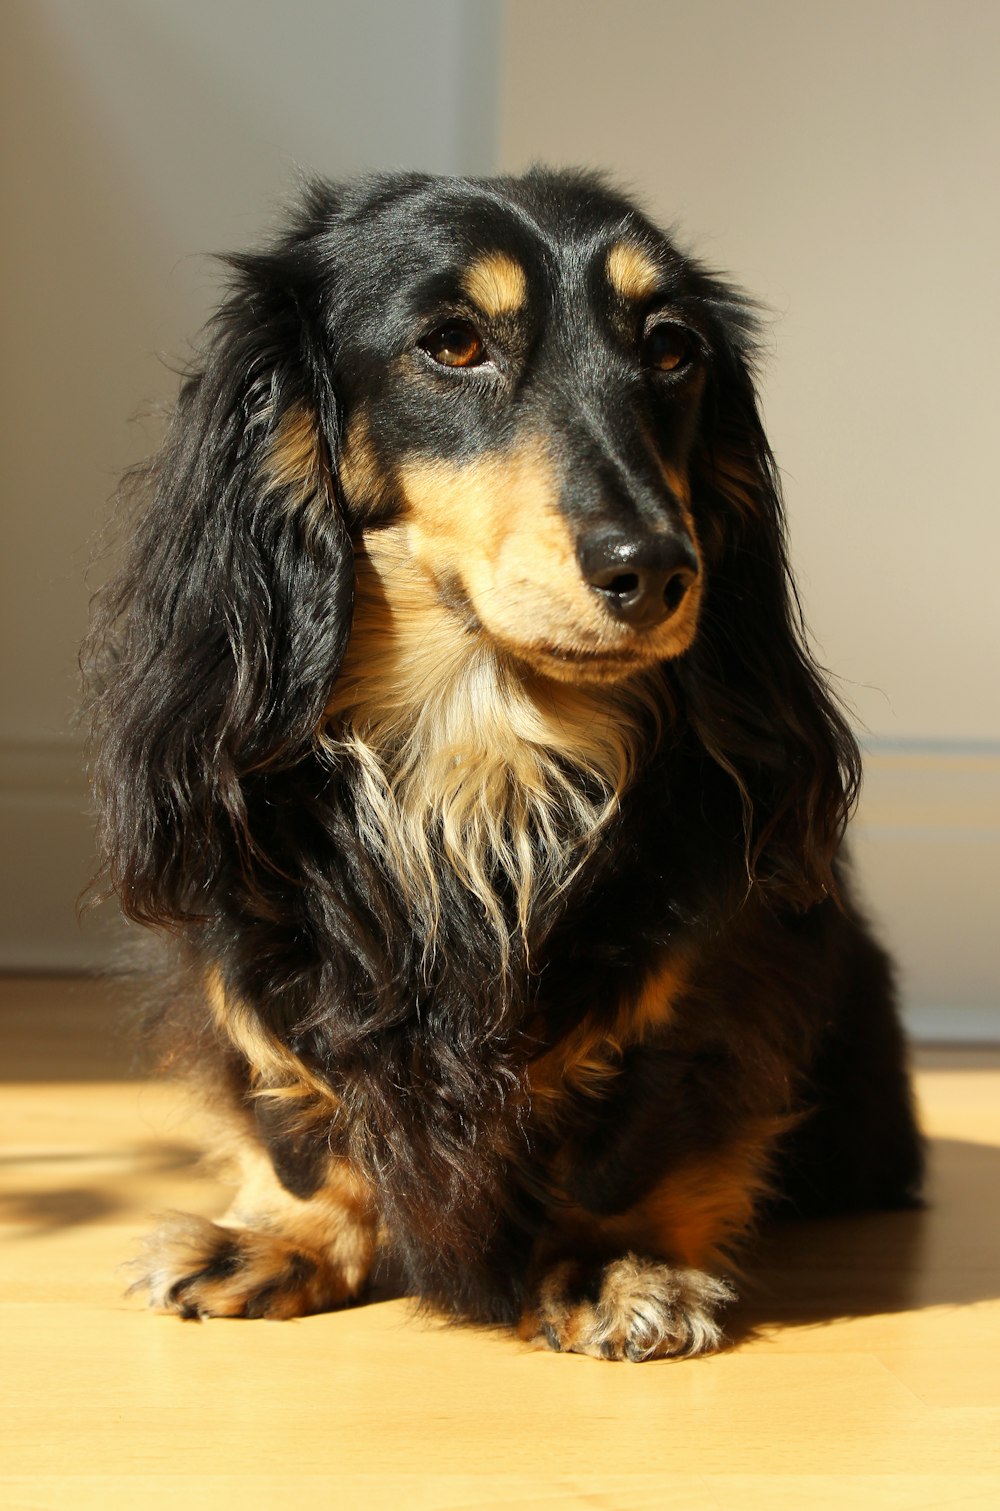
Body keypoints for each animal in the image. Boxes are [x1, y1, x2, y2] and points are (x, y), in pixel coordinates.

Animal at [86, 171, 924, 1365]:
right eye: (453, 342)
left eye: (672, 348)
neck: (480, 749)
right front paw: (288, 1234)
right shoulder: (249, 937)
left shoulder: (703, 973)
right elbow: (289, 1106)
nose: (656, 569)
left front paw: (615, 1260)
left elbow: (641, 1132)